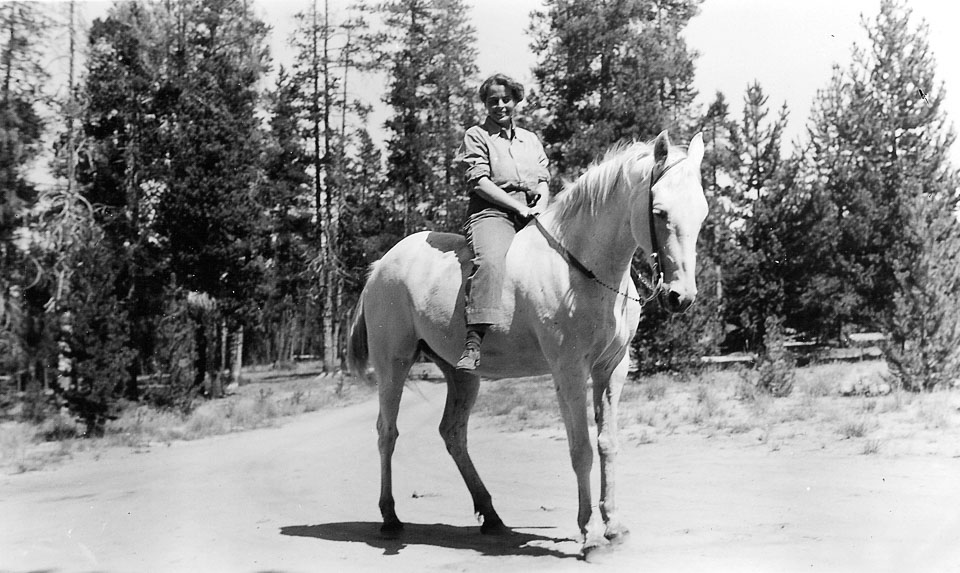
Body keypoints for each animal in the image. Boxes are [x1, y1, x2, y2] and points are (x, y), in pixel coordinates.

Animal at [348, 131, 708, 560]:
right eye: (658, 211)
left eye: (702, 214)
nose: (680, 297)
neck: (582, 268)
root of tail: (380, 267)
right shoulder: (569, 370)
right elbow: (581, 448)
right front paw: (590, 535)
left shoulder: (612, 369)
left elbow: (607, 444)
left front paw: (614, 527)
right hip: (393, 363)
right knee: (387, 432)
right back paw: (390, 518)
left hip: (461, 374)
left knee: (453, 433)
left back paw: (491, 516)